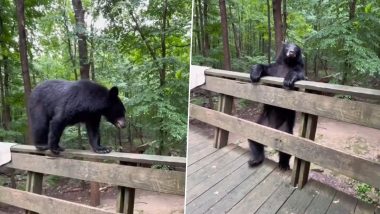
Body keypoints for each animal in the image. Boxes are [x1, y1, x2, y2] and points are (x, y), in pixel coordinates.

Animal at [248, 43, 304, 171]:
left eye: (296, 48)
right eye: (288, 46)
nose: (291, 52)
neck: (288, 63)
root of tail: (271, 128)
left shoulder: (299, 68)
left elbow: (299, 73)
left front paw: (288, 80)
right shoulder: (274, 69)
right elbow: (265, 68)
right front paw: (254, 73)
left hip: (284, 129)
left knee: (286, 147)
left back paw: (283, 164)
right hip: (261, 123)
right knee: (253, 138)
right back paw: (255, 159)